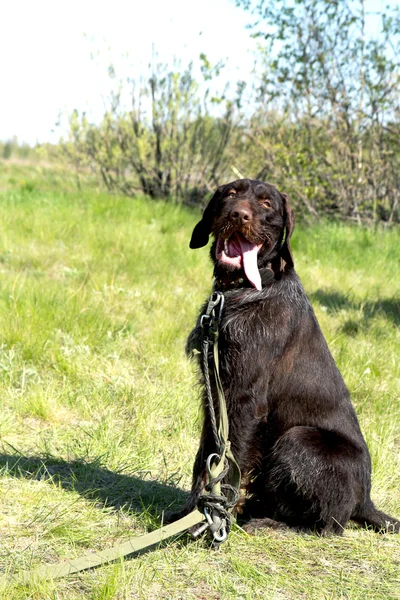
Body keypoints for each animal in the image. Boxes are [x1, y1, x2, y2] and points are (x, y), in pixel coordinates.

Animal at [173, 177, 400, 536]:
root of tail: (365, 501)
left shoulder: (245, 397)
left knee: (328, 525)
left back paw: (268, 522)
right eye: (230, 193)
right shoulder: (215, 391)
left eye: (267, 204)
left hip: (300, 439)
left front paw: (214, 518)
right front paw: (191, 513)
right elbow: (207, 454)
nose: (238, 215)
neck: (245, 290)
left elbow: (230, 459)